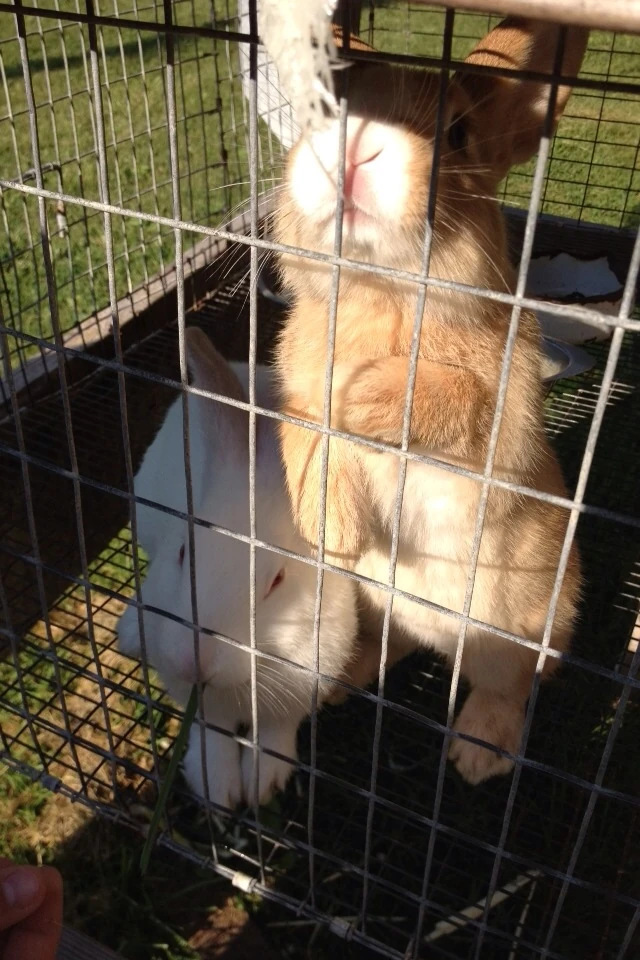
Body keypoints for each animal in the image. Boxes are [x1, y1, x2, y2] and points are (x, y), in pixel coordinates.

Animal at [117, 327, 358, 810]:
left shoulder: (307, 678)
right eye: (183, 551)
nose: (196, 659)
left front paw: (263, 783)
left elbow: (277, 731)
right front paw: (216, 787)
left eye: (277, 580)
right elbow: (209, 730)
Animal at [273, 18, 586, 785]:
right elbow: (302, 427)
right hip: (371, 607)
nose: (353, 146)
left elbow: (454, 399)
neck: (379, 292)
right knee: (390, 648)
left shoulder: (503, 420)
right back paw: (336, 682)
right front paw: (332, 528)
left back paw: (477, 755)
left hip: (522, 629)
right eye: (325, 109)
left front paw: (362, 393)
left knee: (506, 687)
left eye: (460, 133)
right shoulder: (290, 396)